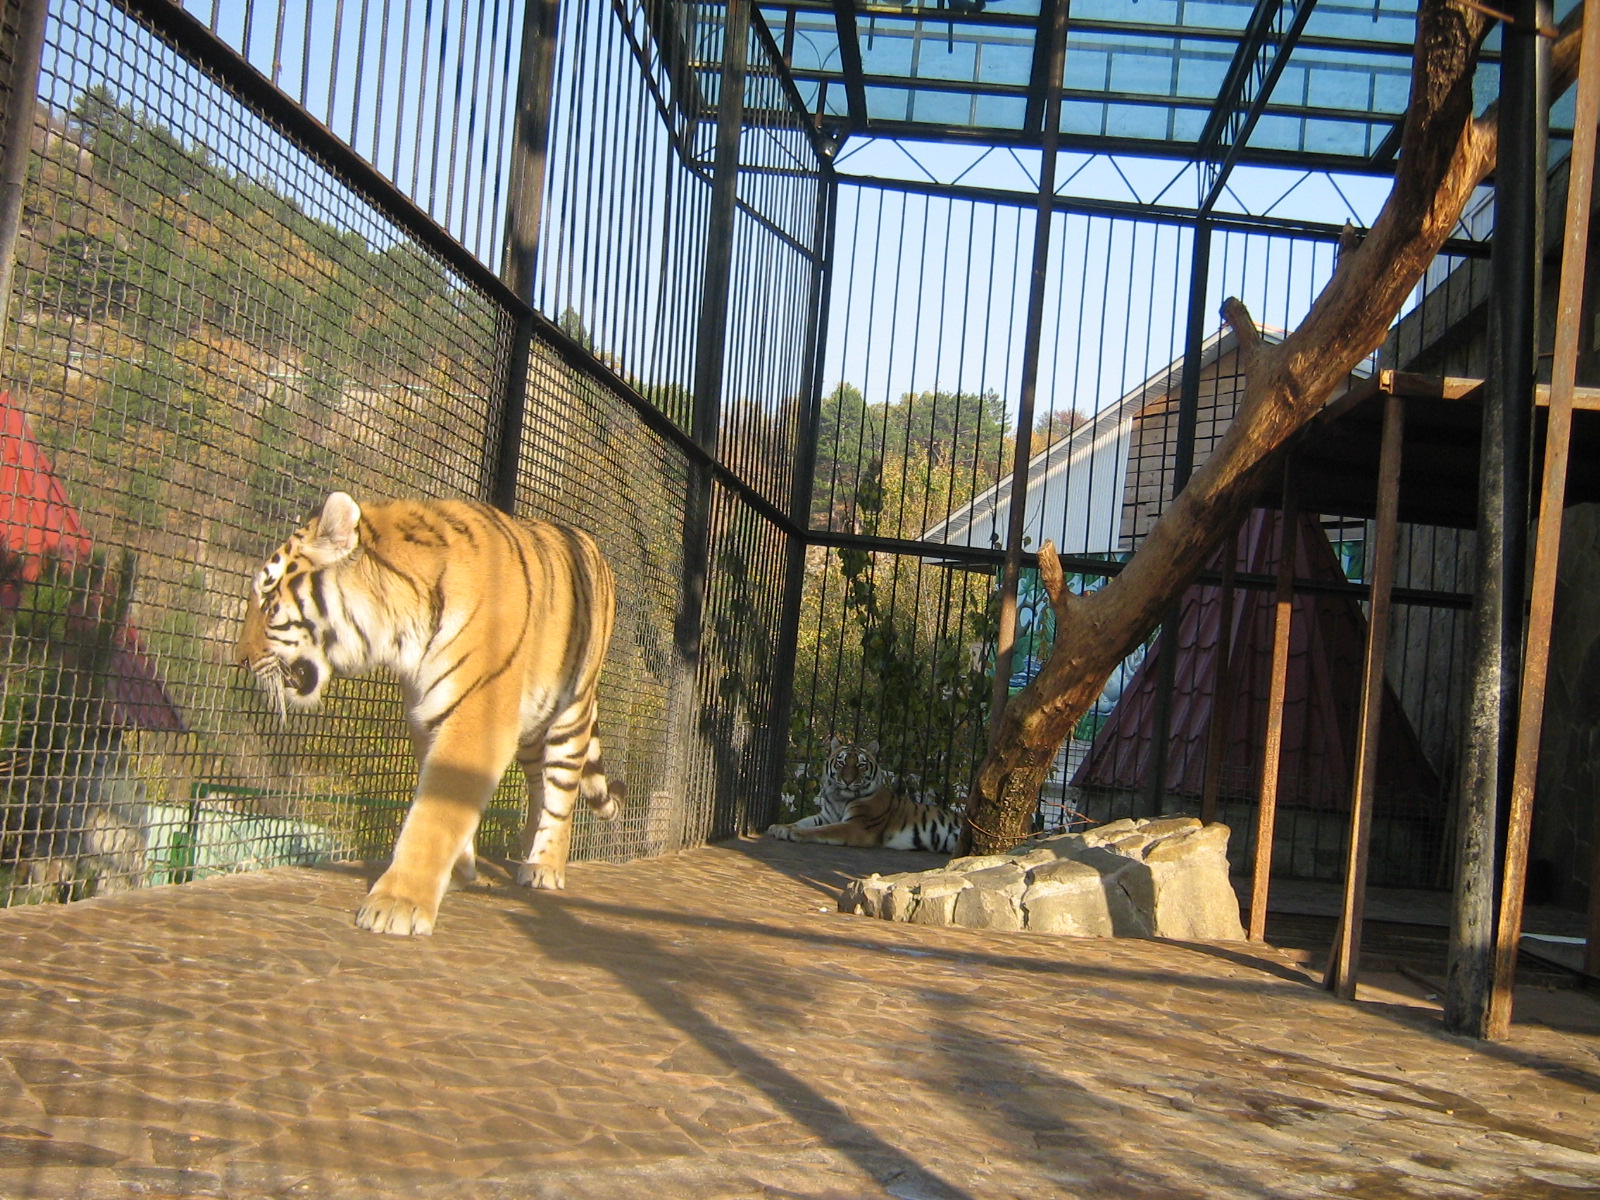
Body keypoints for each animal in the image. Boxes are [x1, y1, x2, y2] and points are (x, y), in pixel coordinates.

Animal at [232, 489, 617, 940]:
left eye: (268, 599)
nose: (240, 658)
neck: (400, 634)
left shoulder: (476, 717)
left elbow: (432, 817)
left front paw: (396, 903)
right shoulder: (426, 716)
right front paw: (460, 869)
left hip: (571, 712)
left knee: (561, 793)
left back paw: (544, 865)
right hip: (532, 724)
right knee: (539, 783)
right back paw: (527, 850)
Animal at [768, 739, 953, 857]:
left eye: (861, 765)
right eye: (841, 763)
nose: (848, 781)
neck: (840, 798)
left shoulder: (857, 826)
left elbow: (821, 830)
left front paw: (793, 833)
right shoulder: (826, 816)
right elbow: (802, 821)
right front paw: (779, 827)